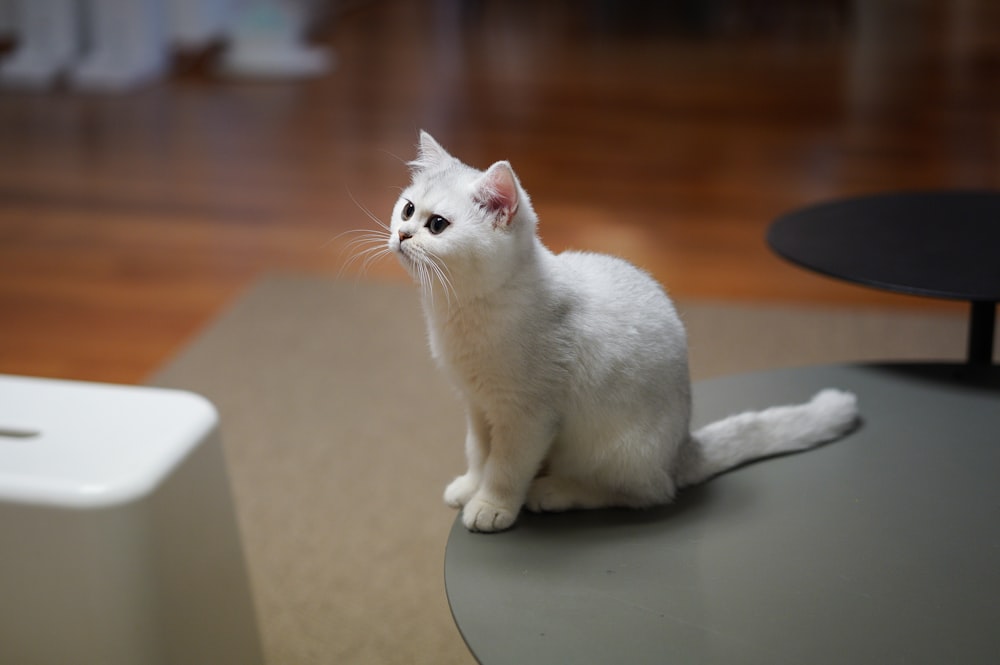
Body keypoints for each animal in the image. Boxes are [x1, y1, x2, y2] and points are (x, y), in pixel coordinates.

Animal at [386, 132, 856, 532]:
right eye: (407, 209)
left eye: (437, 225)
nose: (402, 234)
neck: (458, 310)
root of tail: (681, 448)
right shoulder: (478, 406)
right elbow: (479, 453)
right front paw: (470, 487)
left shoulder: (526, 418)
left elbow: (504, 468)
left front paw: (491, 505)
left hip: (615, 451)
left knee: (646, 494)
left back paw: (554, 491)